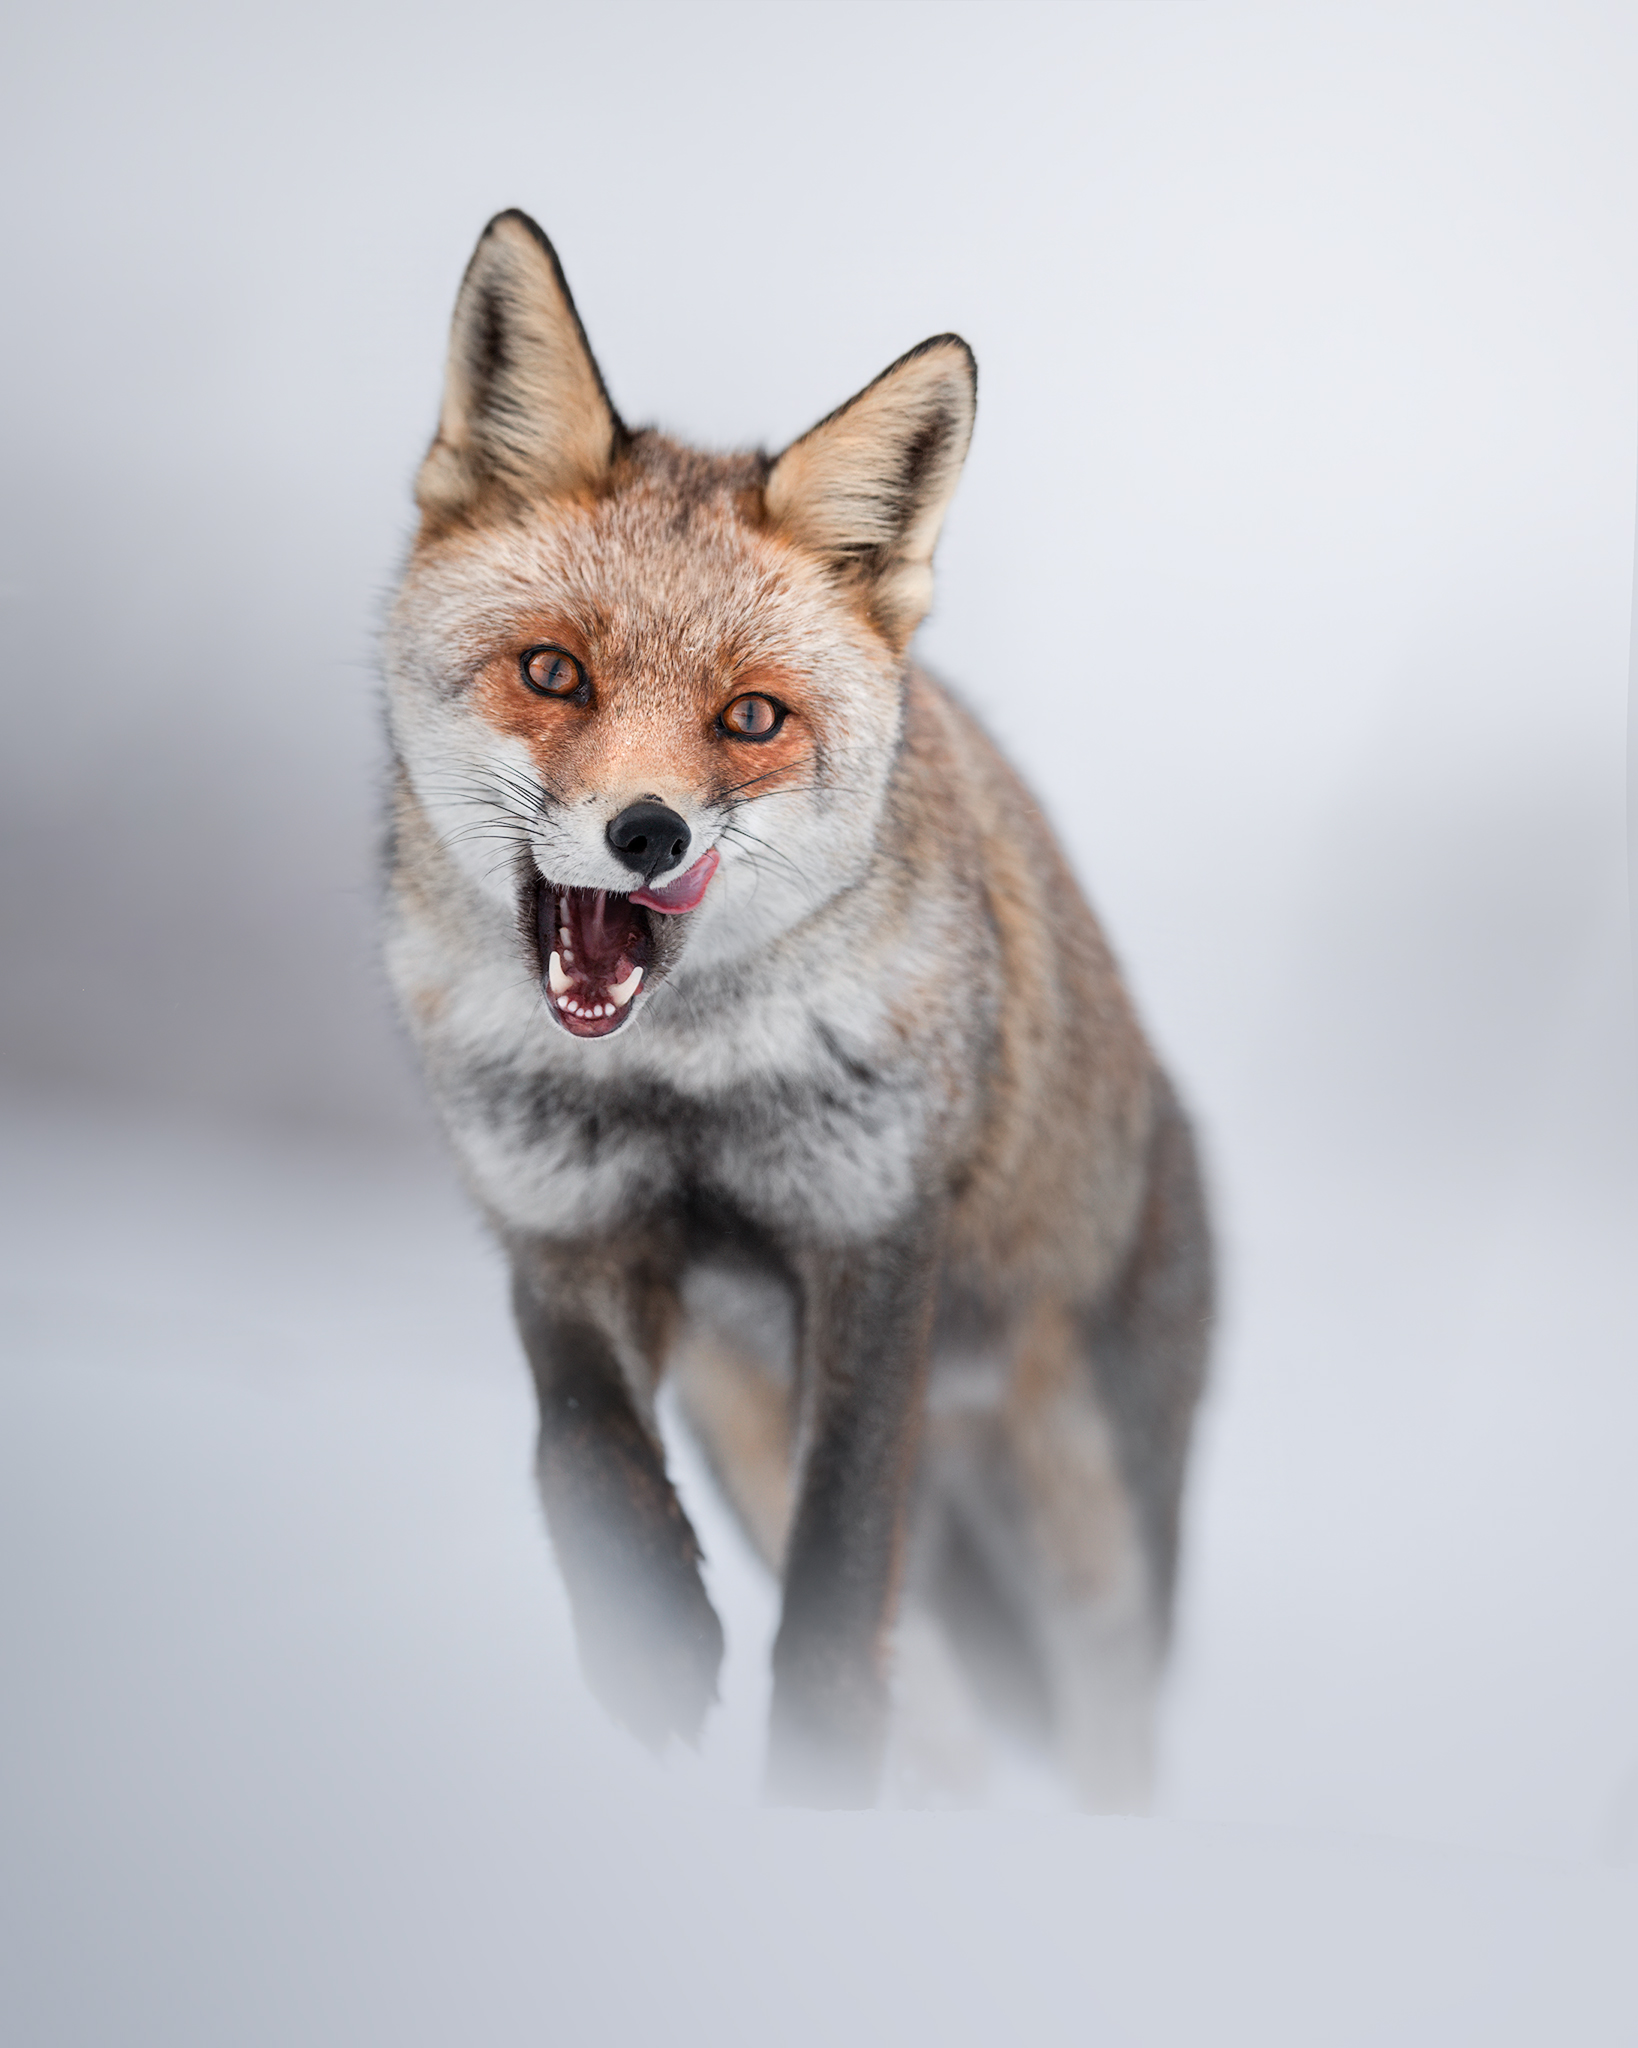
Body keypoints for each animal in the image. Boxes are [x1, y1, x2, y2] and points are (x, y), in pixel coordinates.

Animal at [383, 209, 1212, 1809]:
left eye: (750, 719)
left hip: (1085, 1518)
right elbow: (578, 1450)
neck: (685, 1087)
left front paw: (797, 1751)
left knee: (1103, 1730)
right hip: (757, 1446)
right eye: (553, 672)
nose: (645, 833)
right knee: (940, 1725)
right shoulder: (557, 1227)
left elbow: (835, 1607)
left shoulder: (872, 1244)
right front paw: (645, 1647)